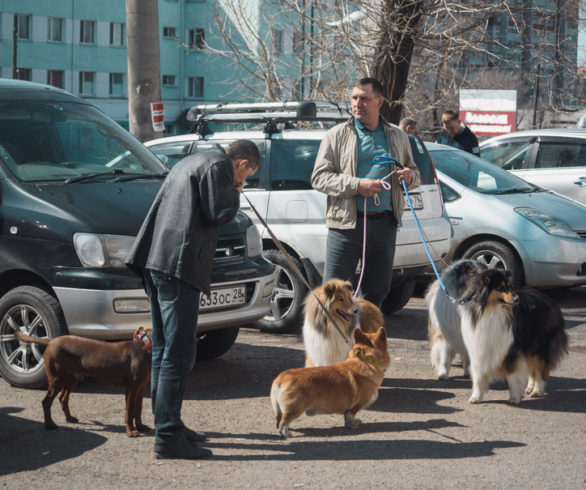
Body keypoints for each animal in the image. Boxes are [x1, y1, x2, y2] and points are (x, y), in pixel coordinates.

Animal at [15, 326, 152, 436]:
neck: (144, 347)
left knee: (62, 398)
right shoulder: (131, 388)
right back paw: (49, 425)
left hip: (71, 378)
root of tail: (52, 340)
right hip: (56, 379)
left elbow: (138, 409)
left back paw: (69, 418)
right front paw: (131, 431)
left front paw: (140, 426)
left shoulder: (140, 387)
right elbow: (129, 412)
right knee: (46, 402)